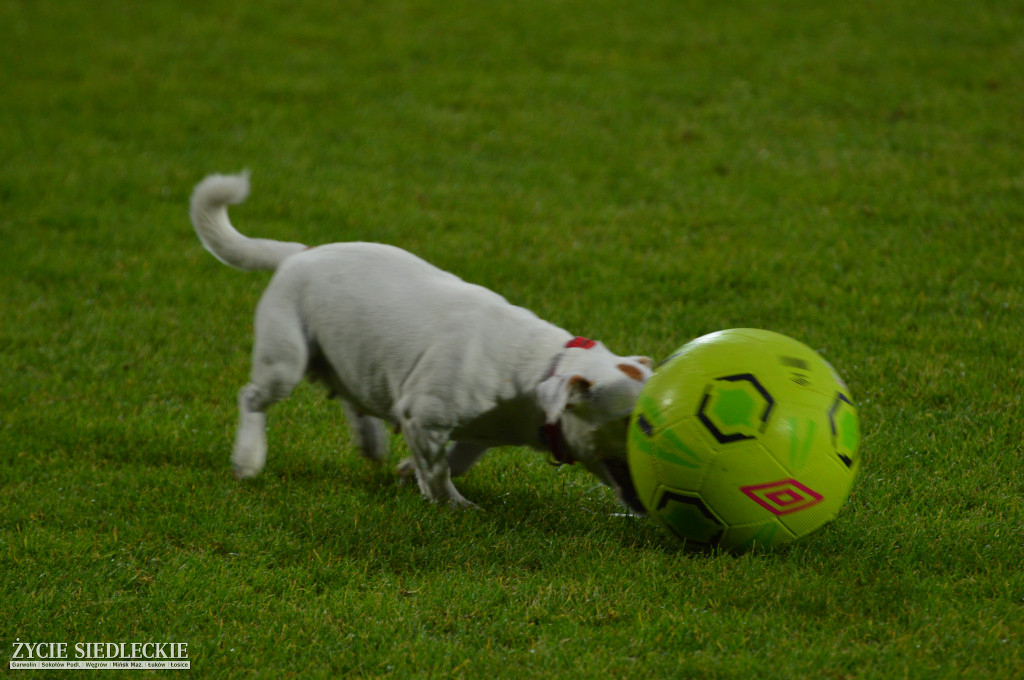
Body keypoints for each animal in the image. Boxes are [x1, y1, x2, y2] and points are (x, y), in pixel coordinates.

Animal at [189, 173, 651, 507]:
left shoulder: (478, 431)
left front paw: (408, 471)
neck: (541, 369)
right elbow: (439, 470)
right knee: (252, 397)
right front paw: (452, 505)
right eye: (632, 422)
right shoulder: (424, 416)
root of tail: (299, 253)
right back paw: (248, 459)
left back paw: (370, 441)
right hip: (283, 360)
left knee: (350, 397)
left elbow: (456, 459)